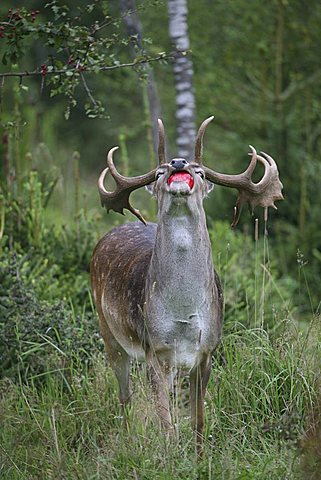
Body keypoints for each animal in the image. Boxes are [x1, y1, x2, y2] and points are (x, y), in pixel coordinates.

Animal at [90, 116, 282, 454]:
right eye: (159, 172)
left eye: (201, 172)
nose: (178, 162)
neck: (183, 315)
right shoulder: (153, 348)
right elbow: (165, 419)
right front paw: (168, 455)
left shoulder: (207, 351)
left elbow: (198, 418)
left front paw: (199, 456)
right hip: (109, 332)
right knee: (125, 395)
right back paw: (128, 438)